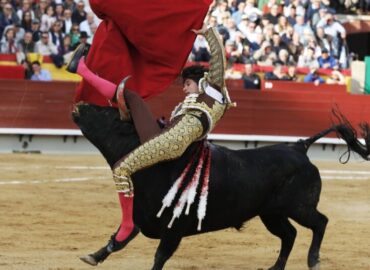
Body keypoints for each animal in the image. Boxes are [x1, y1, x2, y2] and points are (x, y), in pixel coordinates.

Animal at [72, 104, 370, 270]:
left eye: (108, 114)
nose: (80, 104)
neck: (155, 166)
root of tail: (299, 147)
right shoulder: (142, 216)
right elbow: (118, 239)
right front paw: (93, 257)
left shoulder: (174, 228)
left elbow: (159, 256)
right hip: (271, 214)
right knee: (289, 235)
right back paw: (275, 267)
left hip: (299, 207)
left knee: (320, 222)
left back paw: (313, 260)